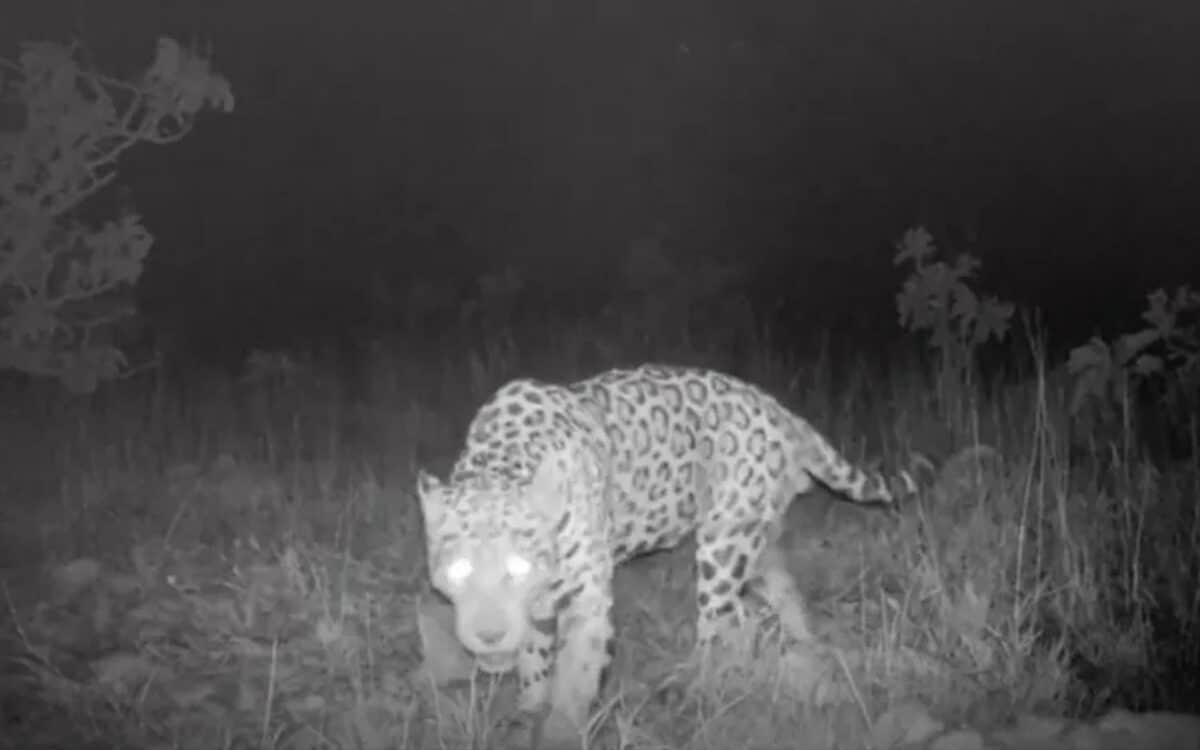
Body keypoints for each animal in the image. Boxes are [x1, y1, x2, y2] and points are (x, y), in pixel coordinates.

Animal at [416, 364, 916, 748]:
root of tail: (777, 408)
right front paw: (527, 711)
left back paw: (695, 695)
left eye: (518, 569)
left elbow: (576, 676)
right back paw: (804, 651)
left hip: (721, 547)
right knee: (776, 598)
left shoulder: (588, 601)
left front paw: (560, 731)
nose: (489, 635)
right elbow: (535, 661)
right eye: (459, 569)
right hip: (753, 542)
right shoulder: (539, 609)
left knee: (719, 627)